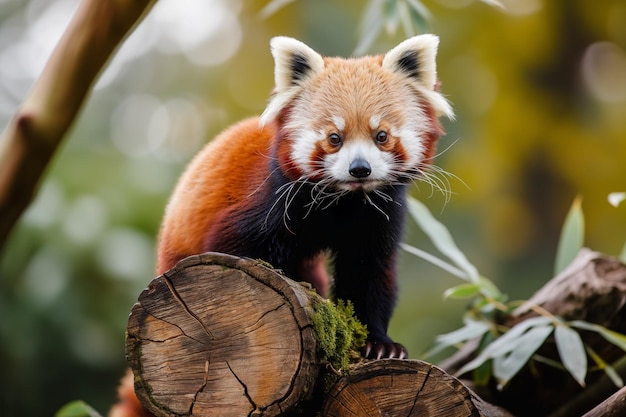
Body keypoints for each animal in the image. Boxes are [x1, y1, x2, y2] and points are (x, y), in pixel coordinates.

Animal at [112, 35, 450, 416]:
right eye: (334, 138)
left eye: (381, 135)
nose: (359, 169)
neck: (344, 202)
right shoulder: (270, 203)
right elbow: (233, 248)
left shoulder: (379, 217)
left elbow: (370, 275)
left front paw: (379, 344)